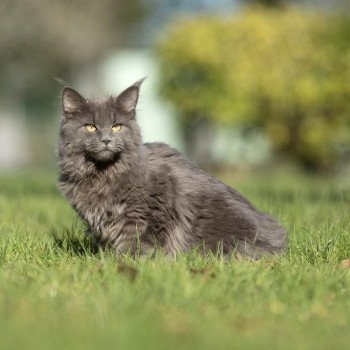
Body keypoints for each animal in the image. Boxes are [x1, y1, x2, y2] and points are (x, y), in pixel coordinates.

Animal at [58, 79, 288, 258]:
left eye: (116, 127)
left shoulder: (146, 215)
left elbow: (136, 246)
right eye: (90, 127)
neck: (103, 174)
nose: (106, 140)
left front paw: (123, 263)